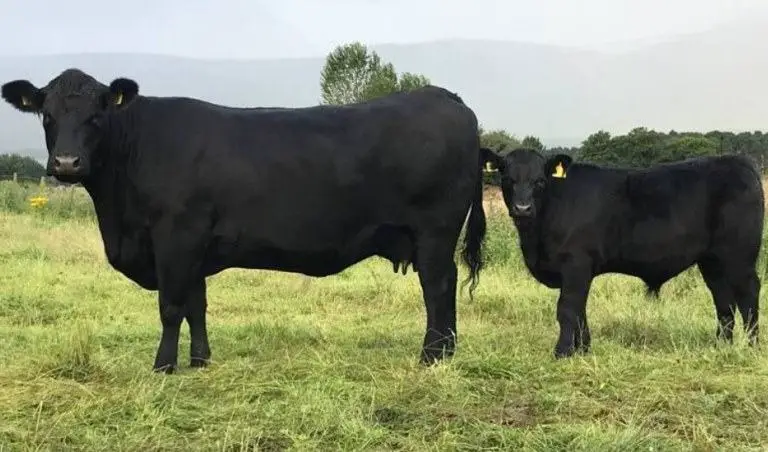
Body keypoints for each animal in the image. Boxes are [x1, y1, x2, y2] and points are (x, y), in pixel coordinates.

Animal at [1, 68, 487, 373]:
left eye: (96, 115)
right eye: (47, 115)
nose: (66, 163)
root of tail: (447, 98)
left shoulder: (176, 236)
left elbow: (171, 306)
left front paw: (163, 367)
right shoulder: (193, 248)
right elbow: (197, 305)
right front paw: (199, 362)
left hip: (434, 232)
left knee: (437, 287)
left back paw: (432, 355)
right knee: (444, 288)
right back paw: (448, 352)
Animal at [482, 147, 764, 358]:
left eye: (539, 181)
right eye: (507, 179)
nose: (522, 208)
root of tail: (738, 161)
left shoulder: (576, 264)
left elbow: (568, 308)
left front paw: (562, 352)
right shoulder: (579, 271)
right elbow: (580, 310)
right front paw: (583, 349)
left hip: (740, 257)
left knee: (748, 295)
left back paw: (752, 346)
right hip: (712, 261)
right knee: (723, 300)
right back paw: (722, 345)